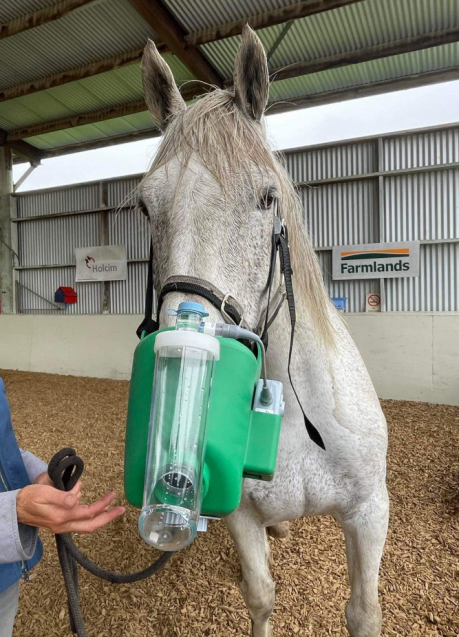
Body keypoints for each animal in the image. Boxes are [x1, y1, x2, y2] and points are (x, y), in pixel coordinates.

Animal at [139, 26, 388, 636]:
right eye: (145, 207)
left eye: (267, 197)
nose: (187, 344)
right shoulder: (242, 517)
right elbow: (260, 594)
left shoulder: (370, 514)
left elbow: (363, 611)